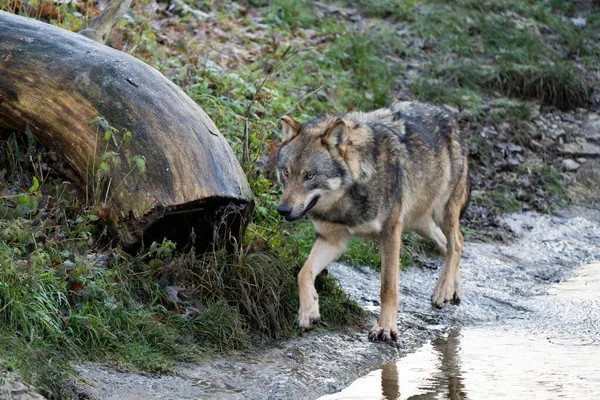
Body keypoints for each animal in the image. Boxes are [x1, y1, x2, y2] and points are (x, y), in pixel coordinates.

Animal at [276, 101, 468, 342]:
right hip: (420, 223)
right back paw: (452, 288)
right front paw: (308, 313)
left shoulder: (390, 232)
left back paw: (443, 290)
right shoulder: (331, 240)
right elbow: (303, 273)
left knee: (457, 241)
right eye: (286, 172)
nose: (283, 210)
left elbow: (388, 288)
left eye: (309, 176)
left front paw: (385, 328)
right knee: (447, 244)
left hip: (442, 212)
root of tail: (445, 113)